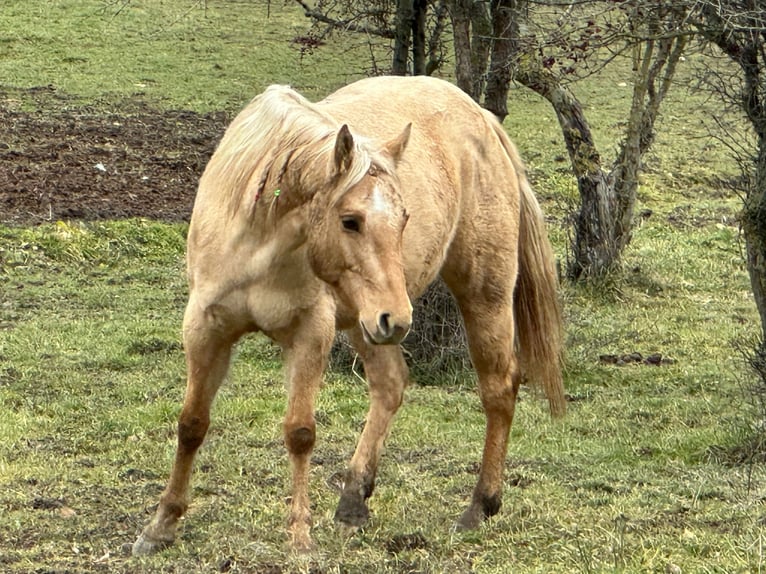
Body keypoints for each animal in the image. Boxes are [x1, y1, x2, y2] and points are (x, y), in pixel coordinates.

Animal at [132, 75, 565, 554]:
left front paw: (300, 536)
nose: (399, 318)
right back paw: (354, 497)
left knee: (498, 388)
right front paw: (161, 525)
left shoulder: (309, 335)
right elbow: (191, 424)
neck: (258, 236)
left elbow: (300, 432)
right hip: (369, 322)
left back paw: (480, 505)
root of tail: (483, 118)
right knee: (391, 385)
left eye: (404, 218)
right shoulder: (205, 328)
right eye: (350, 220)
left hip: (476, 293)